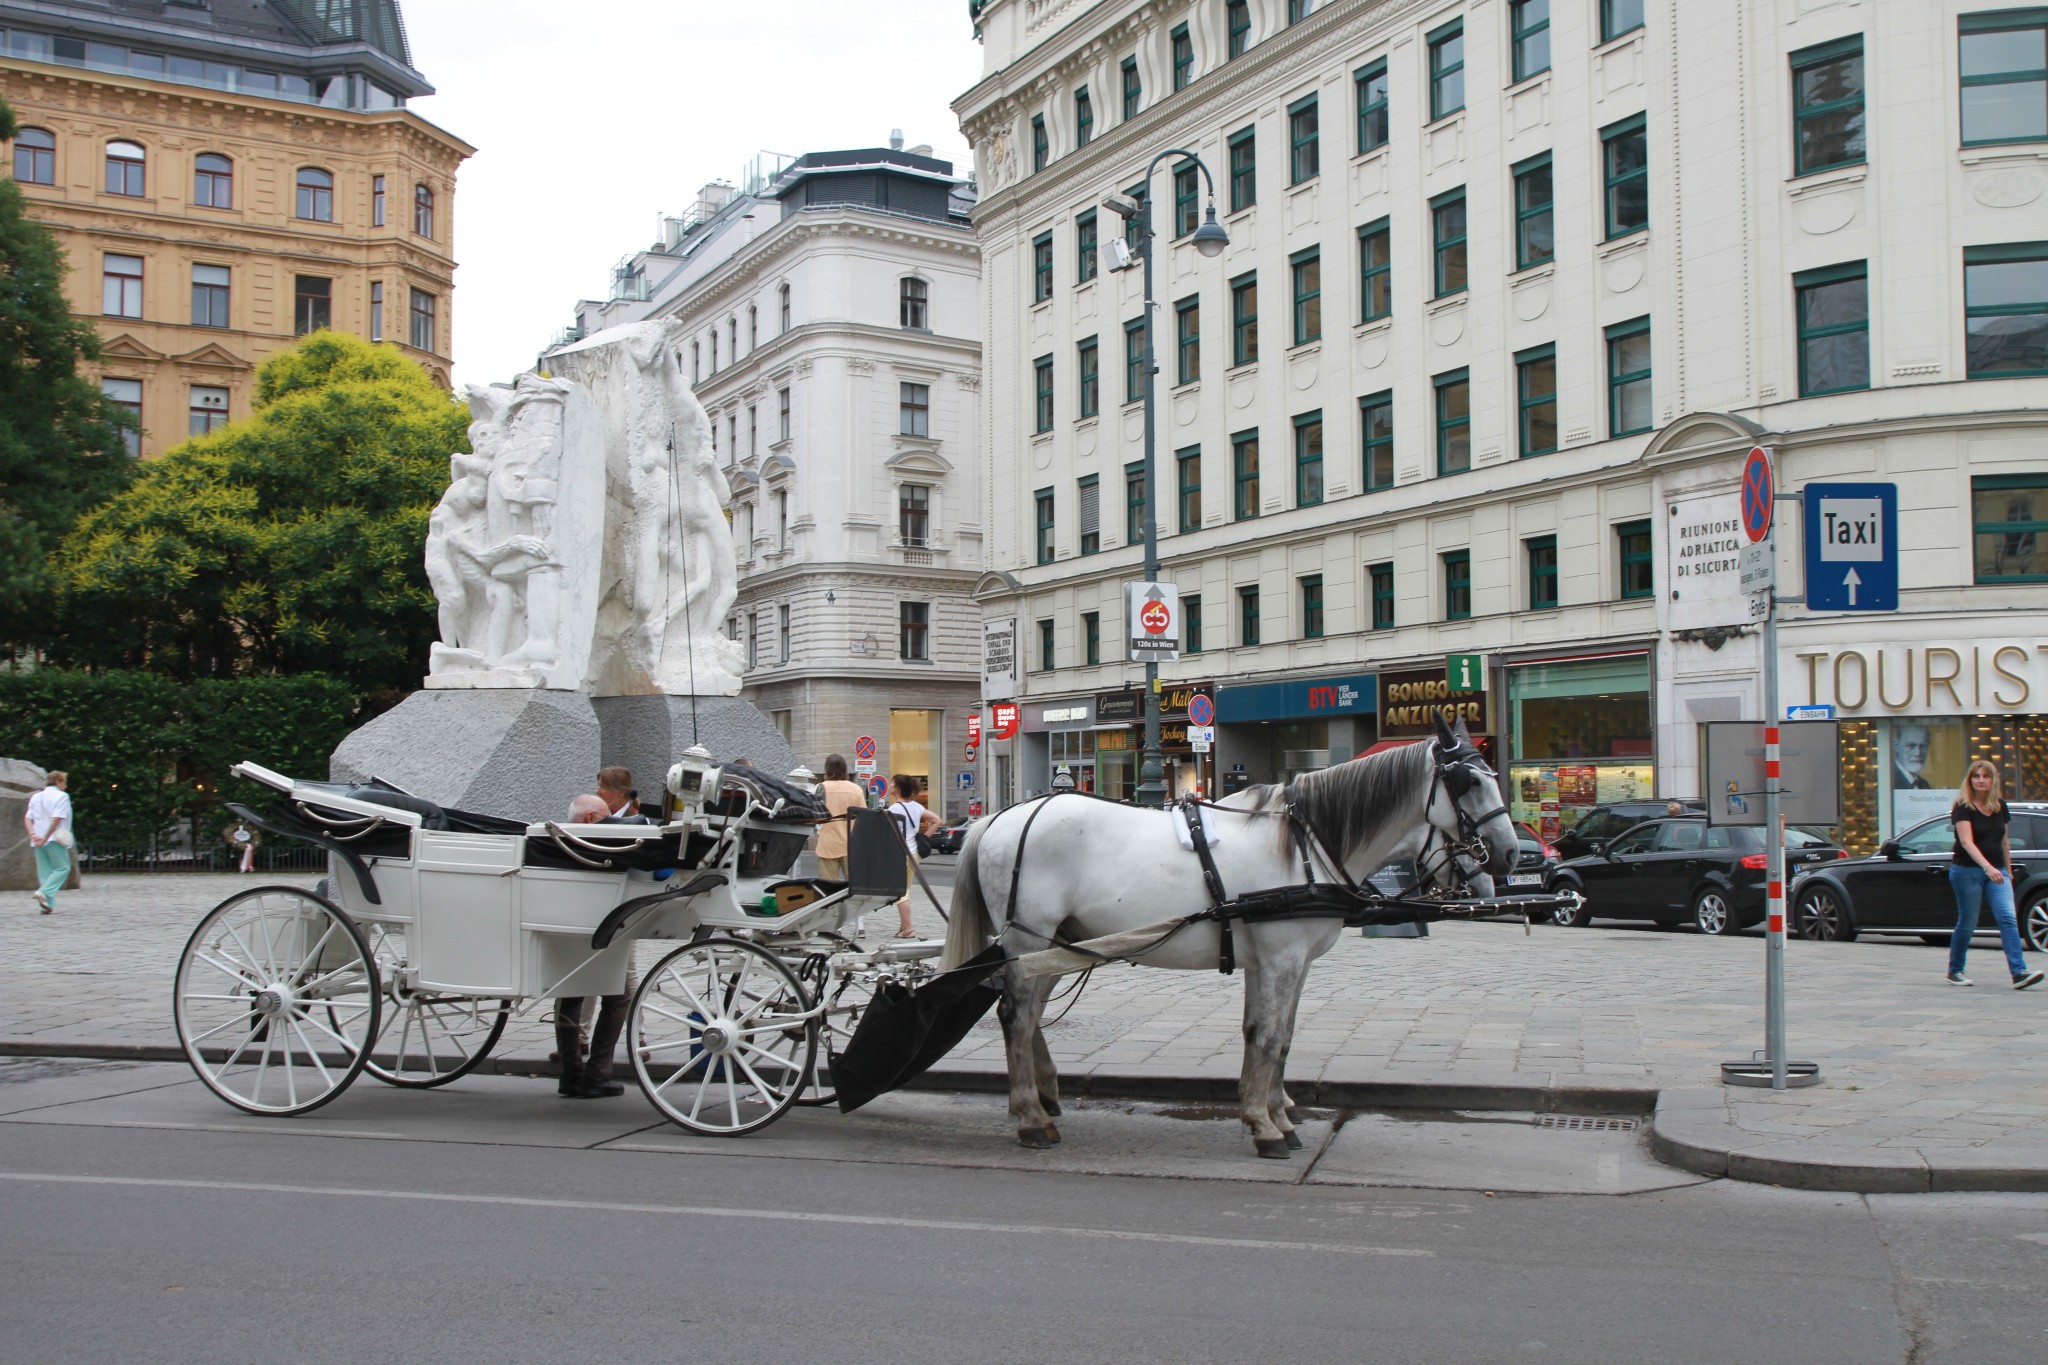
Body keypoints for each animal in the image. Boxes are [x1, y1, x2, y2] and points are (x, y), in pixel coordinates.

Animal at [942, 720, 1523, 1162]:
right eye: (1468, 783)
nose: (1511, 854)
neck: (1305, 846)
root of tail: (998, 818)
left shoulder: (1280, 963)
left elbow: (1272, 1036)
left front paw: (1273, 1113)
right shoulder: (1283, 958)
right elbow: (1269, 1037)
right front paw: (1266, 1127)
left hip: (1053, 945)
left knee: (1030, 1016)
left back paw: (1042, 1099)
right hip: (1028, 938)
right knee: (1016, 1017)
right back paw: (1030, 1118)